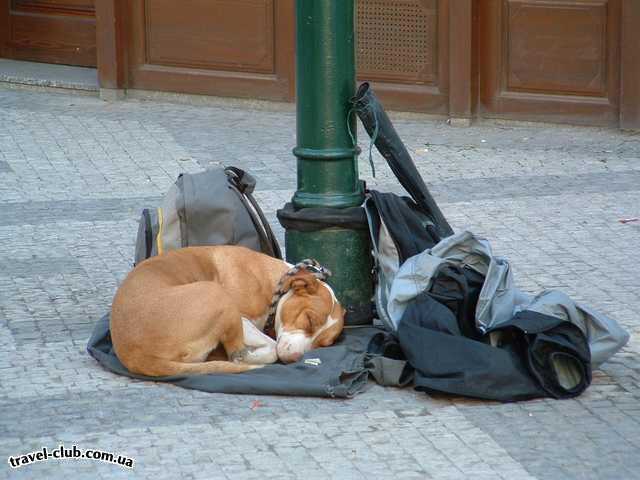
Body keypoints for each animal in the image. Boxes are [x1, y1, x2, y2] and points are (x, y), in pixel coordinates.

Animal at [110, 246, 344, 376]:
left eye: (324, 345)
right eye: (308, 320)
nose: (296, 358)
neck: (272, 283)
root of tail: (135, 354)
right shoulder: (242, 319)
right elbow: (271, 347)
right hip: (216, 293)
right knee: (237, 352)